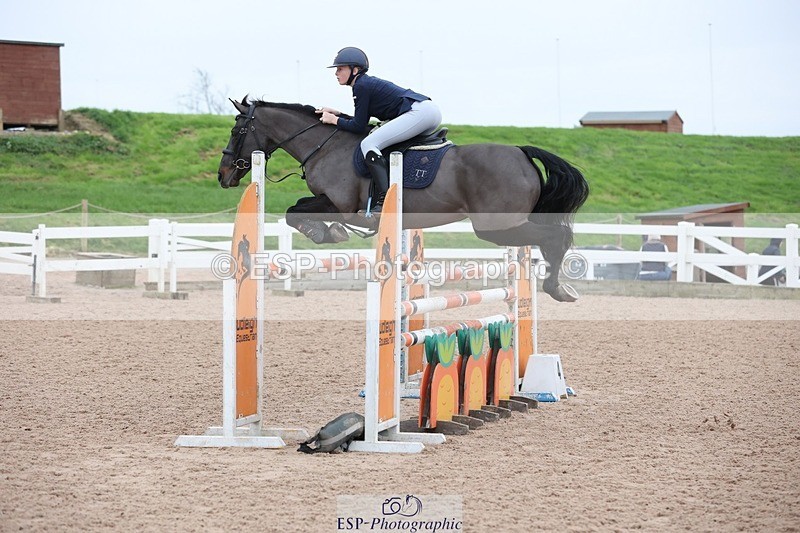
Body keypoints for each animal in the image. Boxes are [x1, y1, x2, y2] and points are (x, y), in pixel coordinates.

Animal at [218, 97, 589, 302]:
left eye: (237, 131)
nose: (224, 176)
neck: (325, 145)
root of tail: (522, 153)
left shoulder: (341, 205)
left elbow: (294, 212)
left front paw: (327, 232)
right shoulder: (329, 203)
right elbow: (295, 210)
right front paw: (330, 231)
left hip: (495, 228)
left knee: (556, 236)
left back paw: (558, 288)